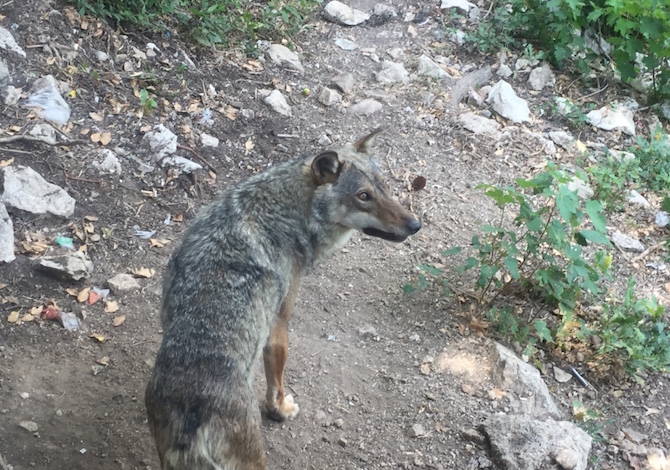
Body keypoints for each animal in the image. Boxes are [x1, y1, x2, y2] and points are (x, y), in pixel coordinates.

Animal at [146, 129, 420, 470]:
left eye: (383, 187)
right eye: (363, 196)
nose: (415, 225)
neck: (283, 212)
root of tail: (191, 419)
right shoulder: (278, 325)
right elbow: (276, 380)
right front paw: (280, 410)